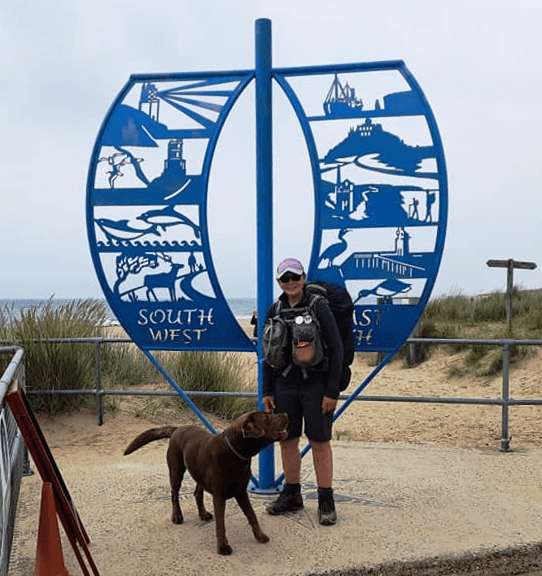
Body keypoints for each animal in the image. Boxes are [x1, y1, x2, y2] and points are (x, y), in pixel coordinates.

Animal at [126, 410, 292, 552]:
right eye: (267, 417)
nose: (286, 413)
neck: (235, 453)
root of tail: (178, 429)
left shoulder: (241, 492)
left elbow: (252, 516)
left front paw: (260, 536)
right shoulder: (219, 496)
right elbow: (221, 524)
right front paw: (223, 547)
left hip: (199, 473)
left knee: (197, 493)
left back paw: (203, 514)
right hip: (176, 470)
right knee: (174, 493)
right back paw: (177, 516)